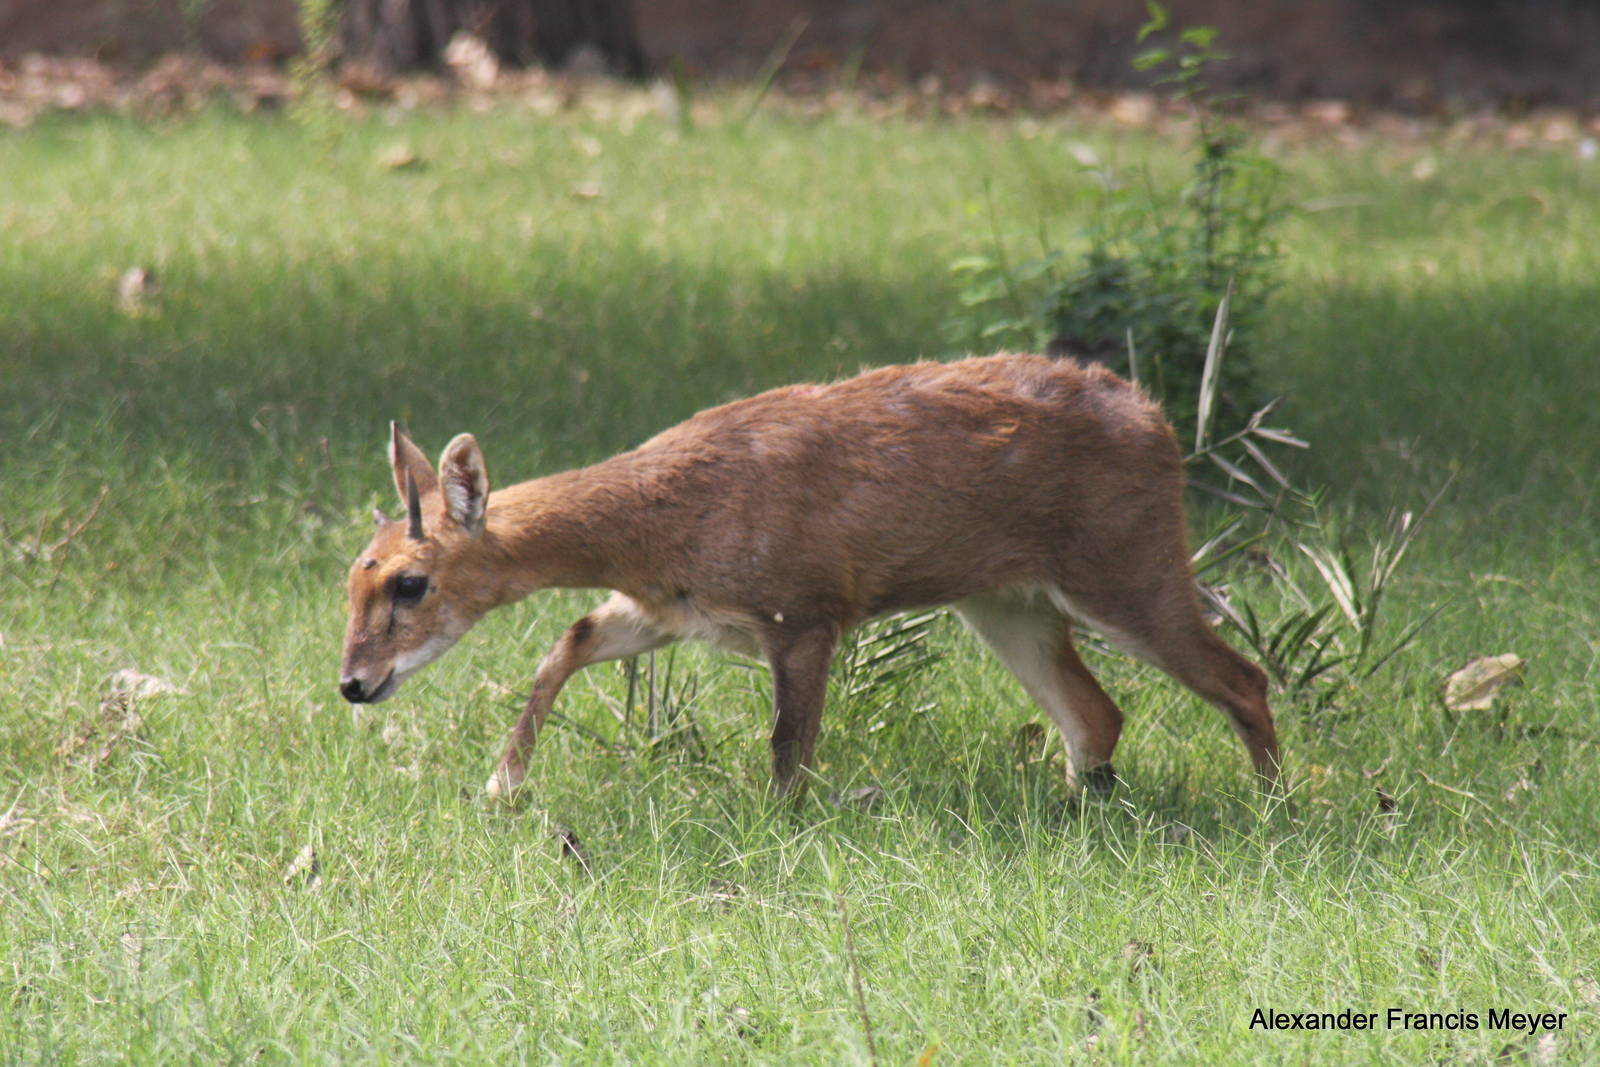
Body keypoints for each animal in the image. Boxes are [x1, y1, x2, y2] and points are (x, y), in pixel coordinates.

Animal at [339, 354, 1279, 800]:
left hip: (1127, 563)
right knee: (1096, 713)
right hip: (1007, 601)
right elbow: (563, 643)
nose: (352, 683)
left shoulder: (805, 607)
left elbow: (790, 748)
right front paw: (502, 786)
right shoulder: (668, 609)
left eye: (410, 583)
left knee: (1244, 675)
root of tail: (1161, 424)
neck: (667, 520)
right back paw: (1084, 808)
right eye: (354, 576)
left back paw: (1275, 809)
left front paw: (777, 833)